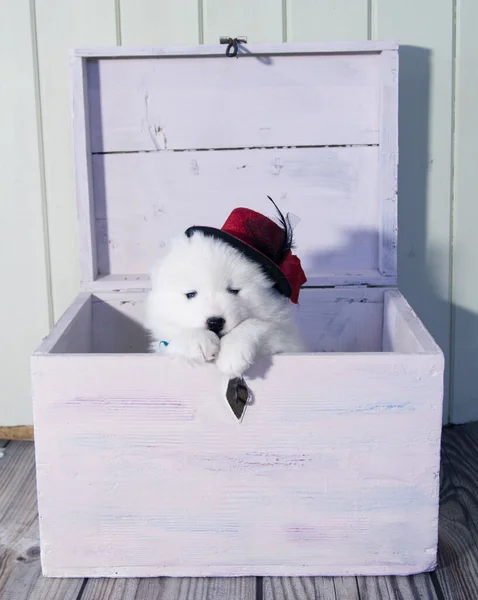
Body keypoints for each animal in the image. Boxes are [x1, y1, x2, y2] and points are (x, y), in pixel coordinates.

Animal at [144, 231, 304, 380]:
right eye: (191, 294)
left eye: (233, 290)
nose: (215, 322)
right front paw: (198, 340)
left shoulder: (287, 340)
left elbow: (257, 324)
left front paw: (232, 353)